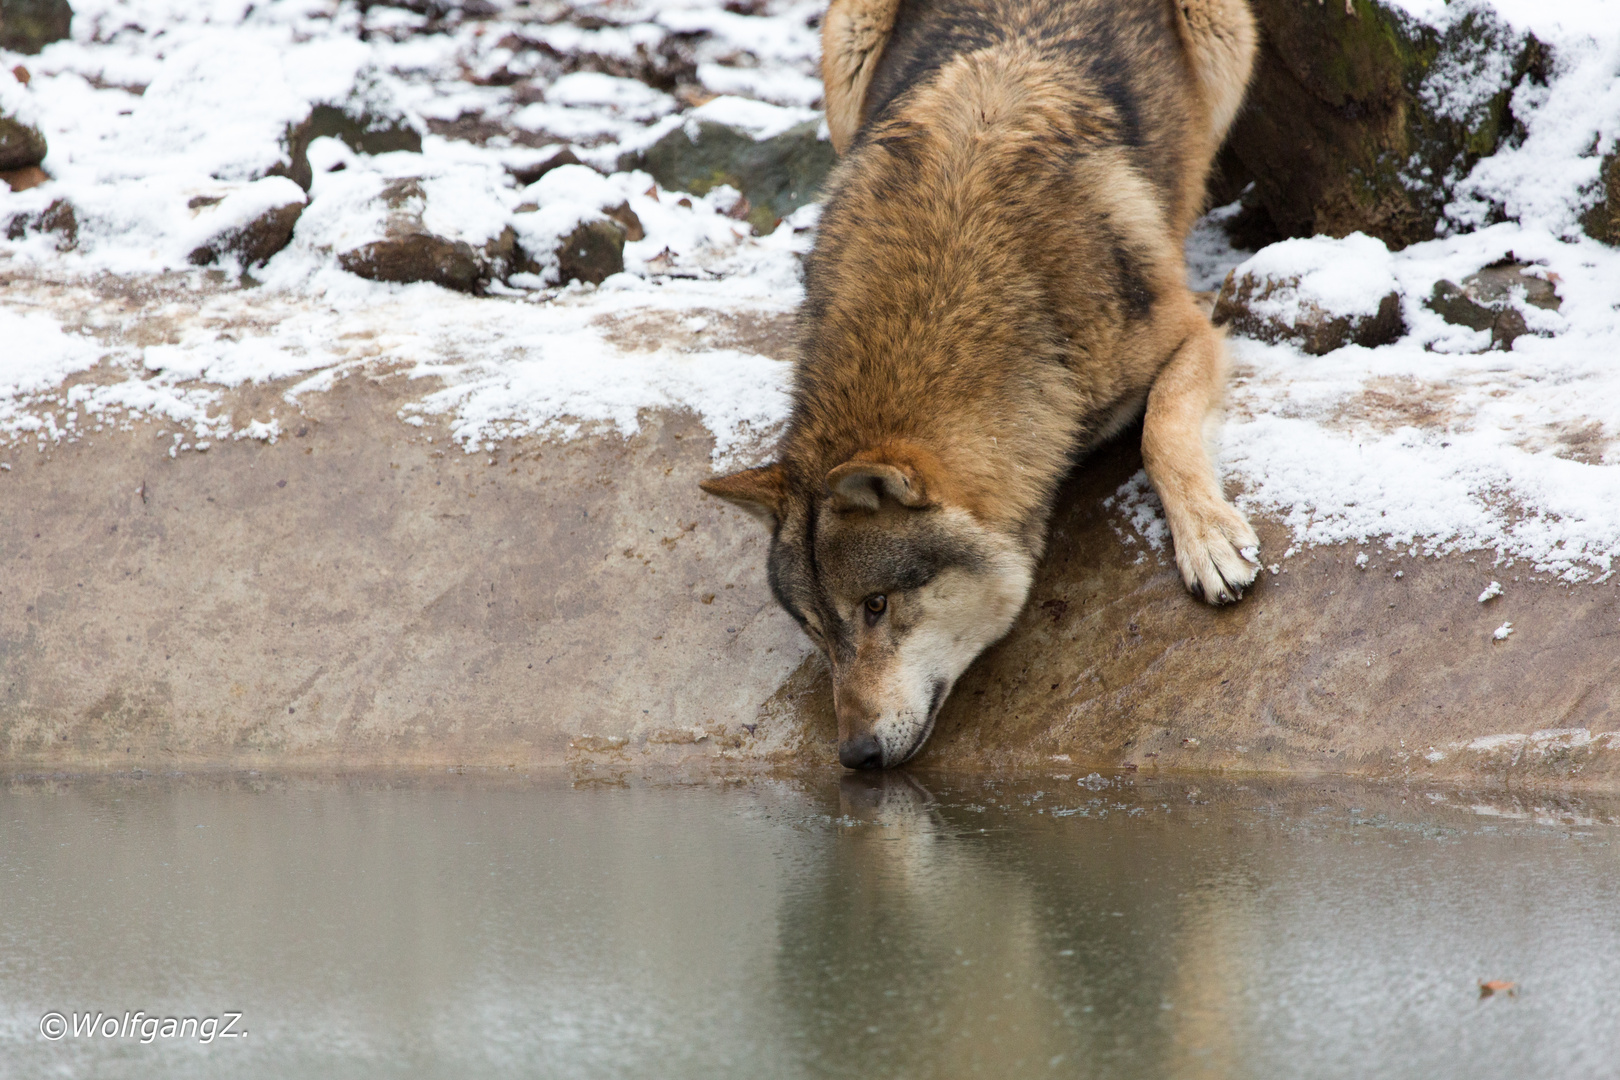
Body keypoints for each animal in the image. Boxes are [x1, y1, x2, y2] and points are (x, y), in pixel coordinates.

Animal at [703, 0, 1257, 767]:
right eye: (816, 629)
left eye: (876, 606)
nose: (854, 756)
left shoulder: (1191, 330)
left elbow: (1161, 432)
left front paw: (1208, 541)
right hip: (845, 42)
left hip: (1226, 36)